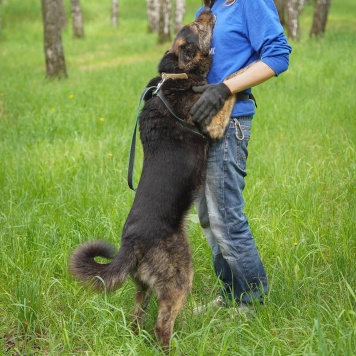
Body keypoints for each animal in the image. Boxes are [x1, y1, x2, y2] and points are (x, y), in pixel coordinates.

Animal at [68, 8, 217, 350]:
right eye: (197, 26)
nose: (208, 9)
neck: (175, 76)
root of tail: (130, 243)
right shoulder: (211, 122)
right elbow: (225, 93)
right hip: (180, 275)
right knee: (162, 325)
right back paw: (171, 348)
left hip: (143, 287)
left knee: (137, 318)